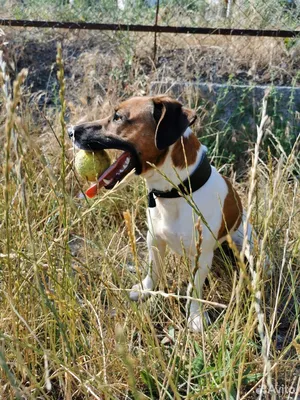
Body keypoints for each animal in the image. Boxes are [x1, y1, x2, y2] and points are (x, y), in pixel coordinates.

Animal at [69, 96, 254, 332]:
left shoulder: (202, 256)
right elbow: (153, 270)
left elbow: (194, 289)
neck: (175, 193)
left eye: (118, 117)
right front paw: (145, 290)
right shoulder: (154, 239)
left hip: (244, 239)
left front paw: (195, 317)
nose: (70, 130)